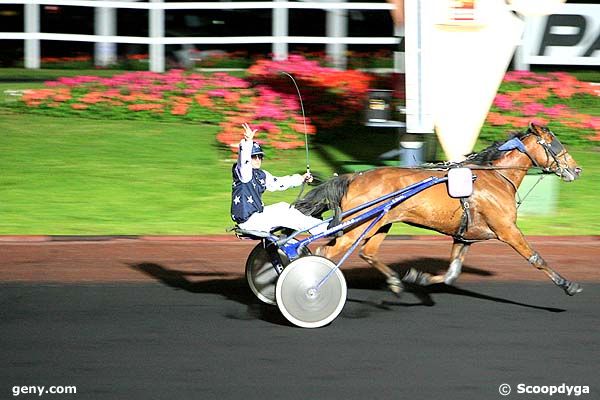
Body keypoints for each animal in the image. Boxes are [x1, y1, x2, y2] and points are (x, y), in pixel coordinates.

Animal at [292, 124, 584, 296]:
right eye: (555, 143)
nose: (576, 169)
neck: (495, 177)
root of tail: (354, 176)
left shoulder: (464, 237)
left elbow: (452, 274)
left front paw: (418, 277)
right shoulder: (507, 230)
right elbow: (536, 258)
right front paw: (568, 284)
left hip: (380, 223)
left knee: (368, 252)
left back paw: (395, 281)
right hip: (357, 227)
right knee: (325, 252)